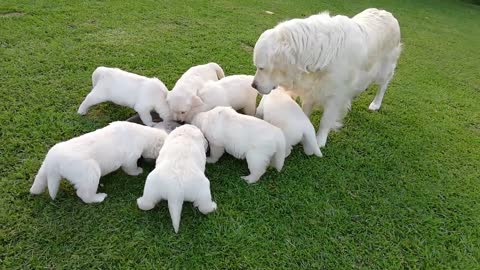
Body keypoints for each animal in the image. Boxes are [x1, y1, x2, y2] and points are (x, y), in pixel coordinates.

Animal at [29, 122, 169, 202]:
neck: (143, 134)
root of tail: (54, 160)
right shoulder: (130, 157)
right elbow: (130, 167)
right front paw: (138, 171)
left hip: (45, 167)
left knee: (39, 180)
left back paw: (35, 191)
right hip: (90, 171)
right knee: (84, 193)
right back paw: (99, 197)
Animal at [251, 7, 402, 148]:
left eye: (261, 68)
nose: (253, 85)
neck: (320, 53)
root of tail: (386, 13)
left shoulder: (335, 96)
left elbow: (326, 120)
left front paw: (320, 140)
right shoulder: (312, 89)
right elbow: (305, 110)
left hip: (384, 69)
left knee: (383, 86)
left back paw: (376, 104)